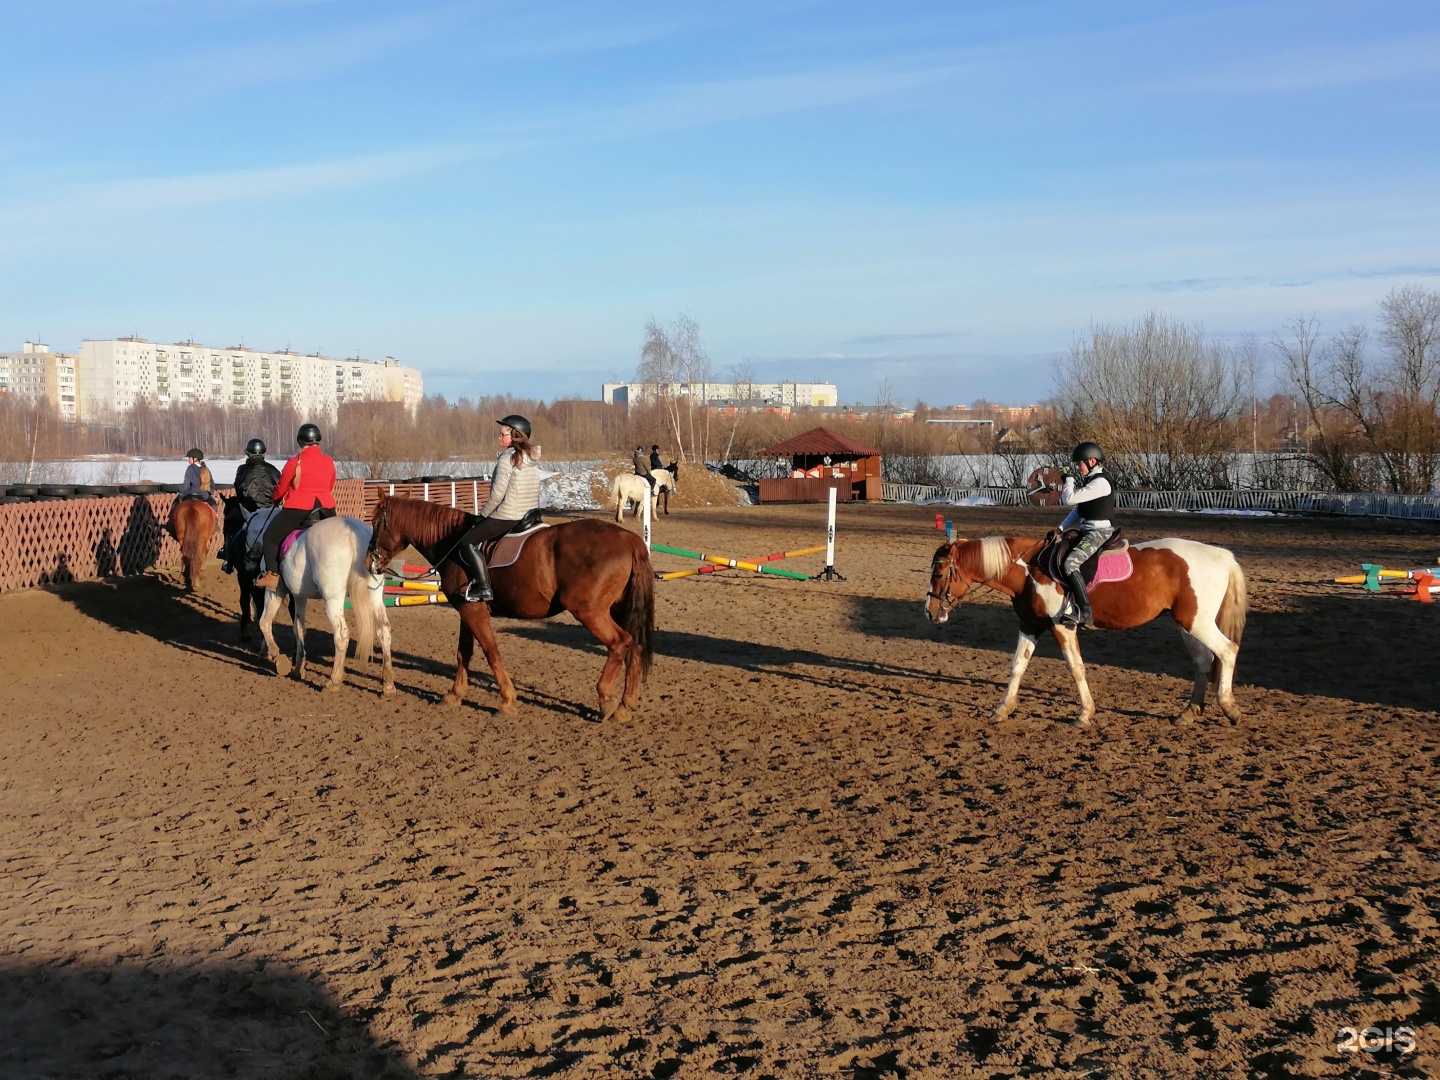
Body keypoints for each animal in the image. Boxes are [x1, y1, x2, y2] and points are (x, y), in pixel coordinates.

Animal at [256, 518, 394, 702]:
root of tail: (355, 532)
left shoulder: (275, 591)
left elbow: (264, 622)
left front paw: (278, 658)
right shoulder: (300, 596)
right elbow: (299, 629)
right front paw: (298, 668)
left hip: (332, 599)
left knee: (341, 635)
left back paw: (333, 681)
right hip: (375, 594)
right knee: (383, 629)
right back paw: (388, 684)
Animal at [362, 501, 656, 728]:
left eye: (377, 523)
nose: (368, 562)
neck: (453, 544)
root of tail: (629, 538)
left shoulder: (474, 611)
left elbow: (491, 651)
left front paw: (506, 701)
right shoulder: (467, 608)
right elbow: (463, 652)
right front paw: (455, 695)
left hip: (589, 611)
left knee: (620, 643)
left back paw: (606, 699)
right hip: (618, 608)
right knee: (636, 645)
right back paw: (625, 704)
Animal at [927, 538, 1244, 731]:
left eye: (939, 574)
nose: (930, 613)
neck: (1030, 571)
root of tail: (1221, 556)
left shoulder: (1061, 627)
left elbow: (1076, 668)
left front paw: (1084, 714)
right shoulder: (1030, 625)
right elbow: (1017, 666)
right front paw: (1003, 709)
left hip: (1197, 623)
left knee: (1228, 650)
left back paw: (1229, 707)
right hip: (1187, 623)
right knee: (1203, 661)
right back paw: (1190, 712)